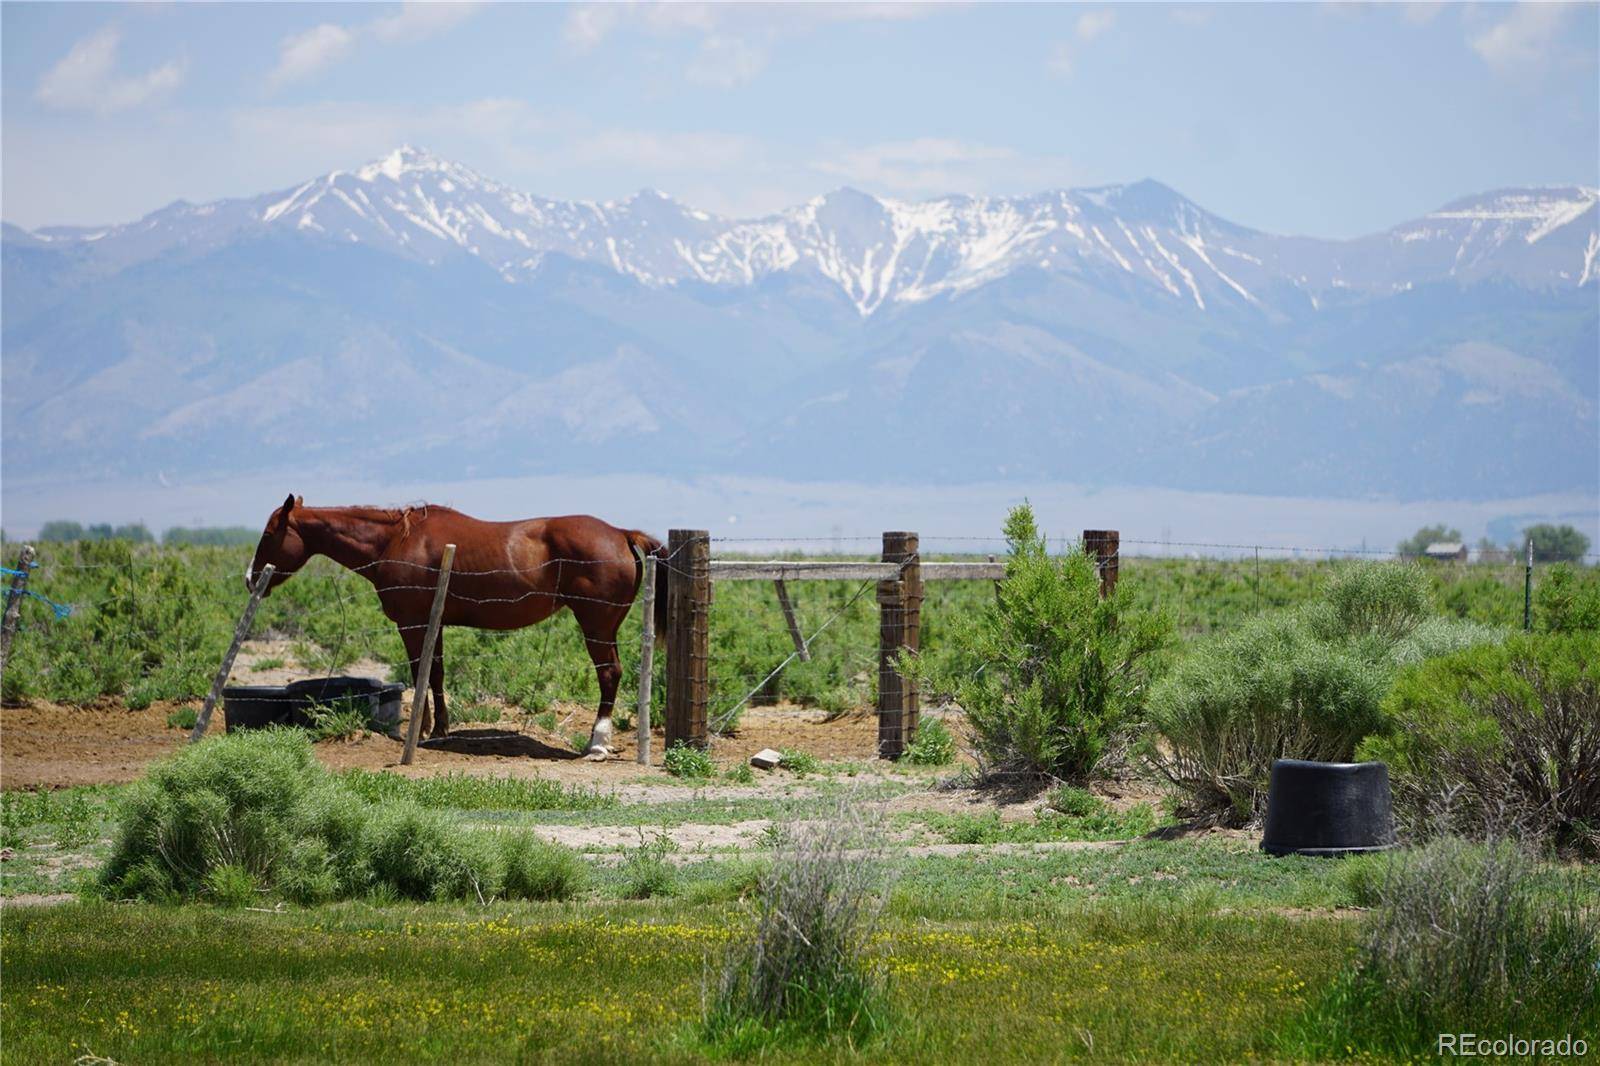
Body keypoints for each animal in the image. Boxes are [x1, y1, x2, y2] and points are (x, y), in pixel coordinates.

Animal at [248, 499, 668, 755]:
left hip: (596, 625)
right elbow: (436, 674)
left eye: (268, 534)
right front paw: (439, 729)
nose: (251, 579)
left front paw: (419, 732)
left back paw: (596, 743)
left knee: (609, 674)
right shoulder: (435, 624)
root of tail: (620, 533)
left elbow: (418, 673)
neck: (394, 542)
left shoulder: (412, 624)